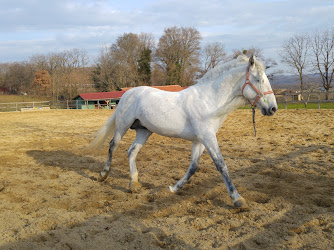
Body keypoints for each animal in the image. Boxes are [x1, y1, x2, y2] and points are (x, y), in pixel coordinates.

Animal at [90, 55, 276, 208]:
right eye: (258, 79)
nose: (273, 108)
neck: (208, 102)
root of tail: (127, 93)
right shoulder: (208, 138)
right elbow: (221, 165)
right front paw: (237, 199)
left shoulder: (199, 141)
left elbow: (193, 167)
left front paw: (173, 188)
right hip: (122, 126)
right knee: (113, 146)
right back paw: (103, 175)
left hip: (144, 131)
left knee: (131, 151)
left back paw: (134, 183)